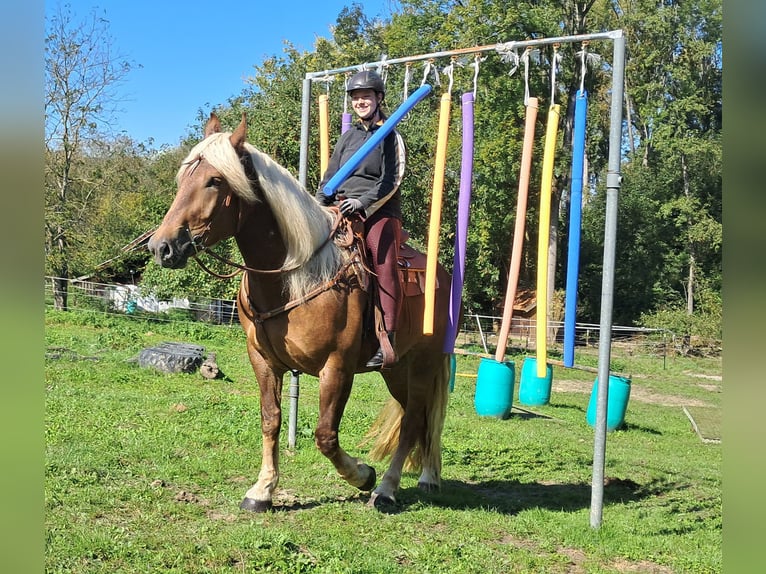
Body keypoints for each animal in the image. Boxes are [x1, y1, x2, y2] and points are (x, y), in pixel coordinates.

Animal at [147, 112, 452, 512]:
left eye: (215, 180)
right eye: (183, 178)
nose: (162, 247)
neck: (295, 273)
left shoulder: (336, 367)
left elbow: (325, 435)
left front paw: (362, 475)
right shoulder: (263, 361)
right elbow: (270, 420)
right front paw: (262, 489)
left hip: (423, 363)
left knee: (417, 417)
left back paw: (387, 488)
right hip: (396, 368)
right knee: (417, 418)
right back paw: (427, 476)